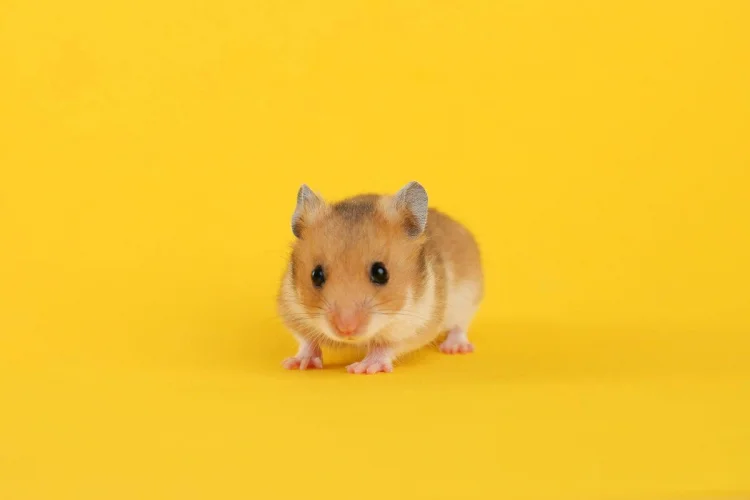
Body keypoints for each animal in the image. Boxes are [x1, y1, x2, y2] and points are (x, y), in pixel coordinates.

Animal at [277, 181, 484, 374]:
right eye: (316, 275)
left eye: (380, 273)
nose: (346, 330)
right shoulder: (292, 310)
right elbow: (307, 341)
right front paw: (296, 364)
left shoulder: (415, 324)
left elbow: (385, 346)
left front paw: (363, 368)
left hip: (468, 299)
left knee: (459, 327)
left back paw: (455, 348)